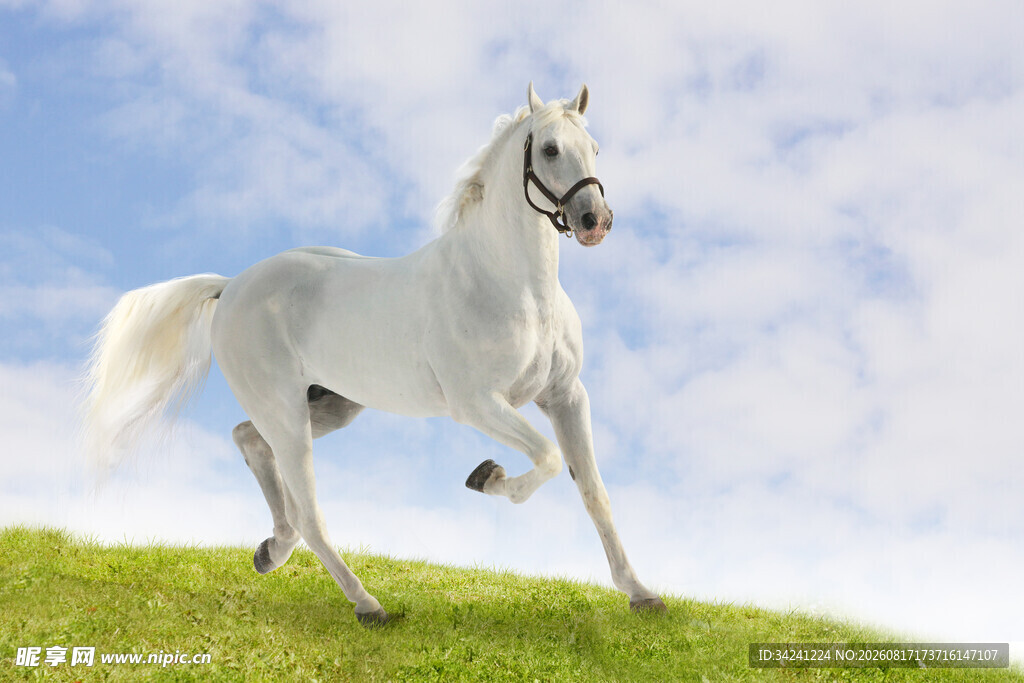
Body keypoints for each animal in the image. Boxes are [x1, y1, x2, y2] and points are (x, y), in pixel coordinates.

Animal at [82, 83, 667, 627]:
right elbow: (544, 459)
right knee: (309, 510)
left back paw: (271, 551)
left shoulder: (566, 396)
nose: (595, 220)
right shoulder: (478, 403)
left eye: (594, 147)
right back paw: (368, 605)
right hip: (285, 410)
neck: (512, 286)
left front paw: (642, 595)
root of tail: (231, 287)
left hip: (329, 405)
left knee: (249, 442)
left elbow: (593, 491)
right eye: (548, 148)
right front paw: (486, 476)